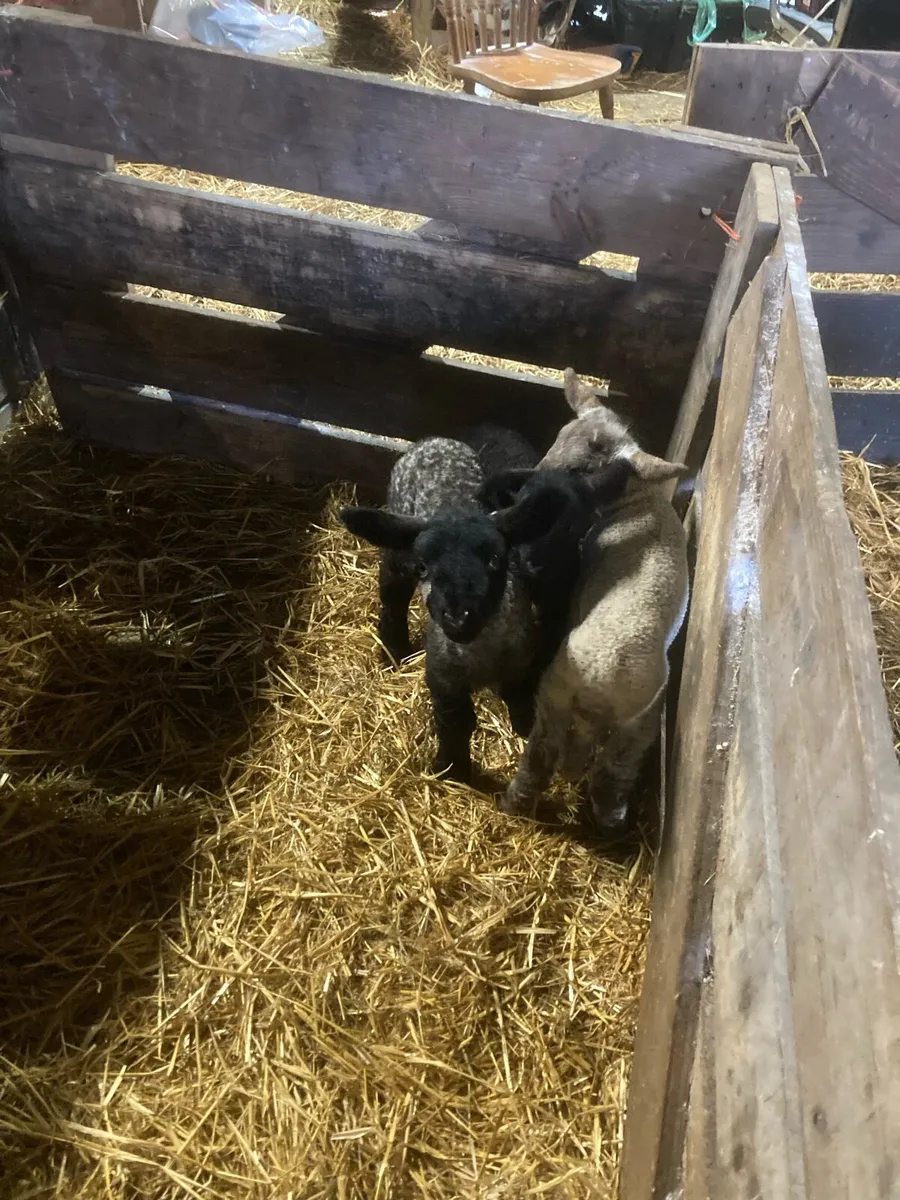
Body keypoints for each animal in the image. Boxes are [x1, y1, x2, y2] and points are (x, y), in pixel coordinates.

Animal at [502, 369, 690, 842]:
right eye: (558, 436)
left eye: (581, 469)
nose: (524, 489)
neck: (641, 504)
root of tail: (608, 668)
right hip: (624, 717)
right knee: (608, 768)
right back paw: (604, 817)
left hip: (565, 694)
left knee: (553, 755)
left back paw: (522, 801)